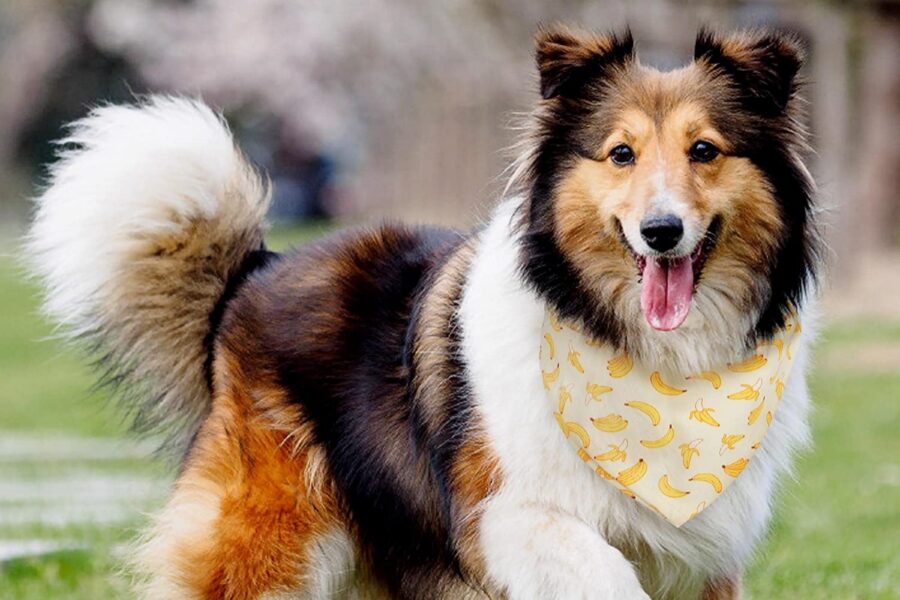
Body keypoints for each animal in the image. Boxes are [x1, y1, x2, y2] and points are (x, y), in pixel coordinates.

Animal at [28, 25, 820, 596]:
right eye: (620, 154)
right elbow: (602, 570)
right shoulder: (505, 517)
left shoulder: (704, 556)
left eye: (705, 150)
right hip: (272, 540)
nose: (661, 231)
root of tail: (258, 268)